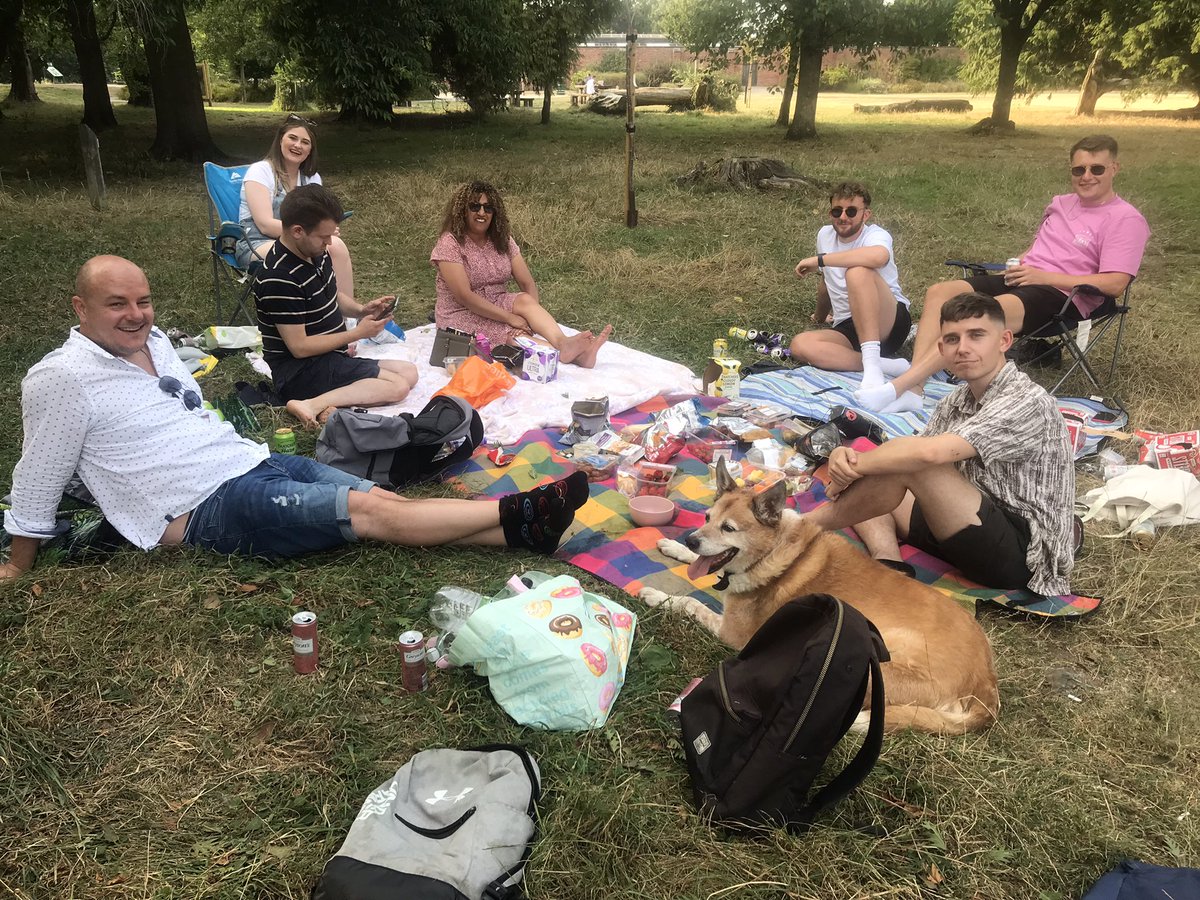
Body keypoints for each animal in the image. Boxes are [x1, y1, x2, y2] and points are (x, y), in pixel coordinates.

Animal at [643, 465, 998, 734]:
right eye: (706, 518)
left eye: (728, 528)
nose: (691, 538)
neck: (772, 550)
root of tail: (986, 685)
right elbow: (697, 565)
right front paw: (676, 548)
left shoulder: (733, 633)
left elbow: (691, 603)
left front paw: (655, 595)